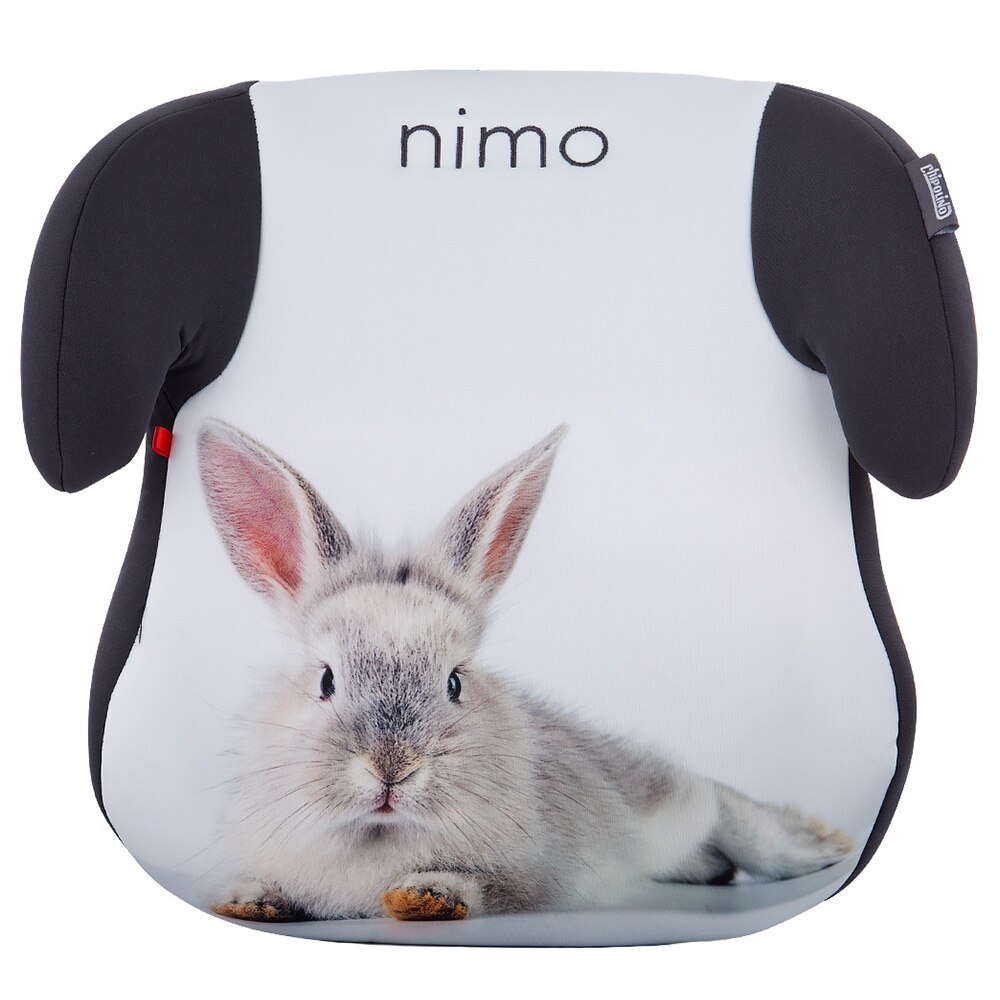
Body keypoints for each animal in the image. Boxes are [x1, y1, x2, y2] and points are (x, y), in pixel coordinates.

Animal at [197, 419, 854, 922]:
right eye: (326, 680)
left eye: (455, 682)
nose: (392, 768)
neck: (378, 836)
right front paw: (249, 900)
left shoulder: (533, 876)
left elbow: (492, 889)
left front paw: (426, 897)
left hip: (669, 797)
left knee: (724, 805)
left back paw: (825, 844)